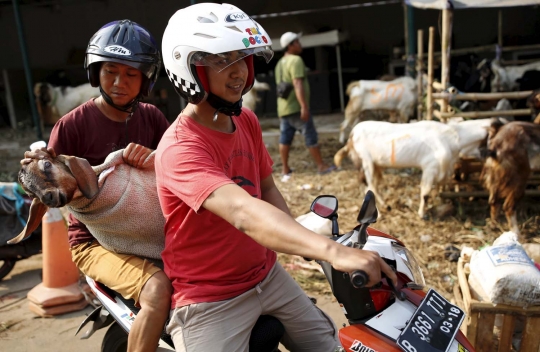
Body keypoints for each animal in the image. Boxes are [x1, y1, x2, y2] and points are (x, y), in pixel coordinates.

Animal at [336, 119, 496, 217]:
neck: (453, 137)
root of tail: (352, 134)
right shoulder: (430, 167)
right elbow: (425, 192)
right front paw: (422, 214)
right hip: (366, 160)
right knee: (369, 185)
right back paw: (380, 213)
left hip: (375, 164)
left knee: (370, 185)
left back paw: (386, 206)